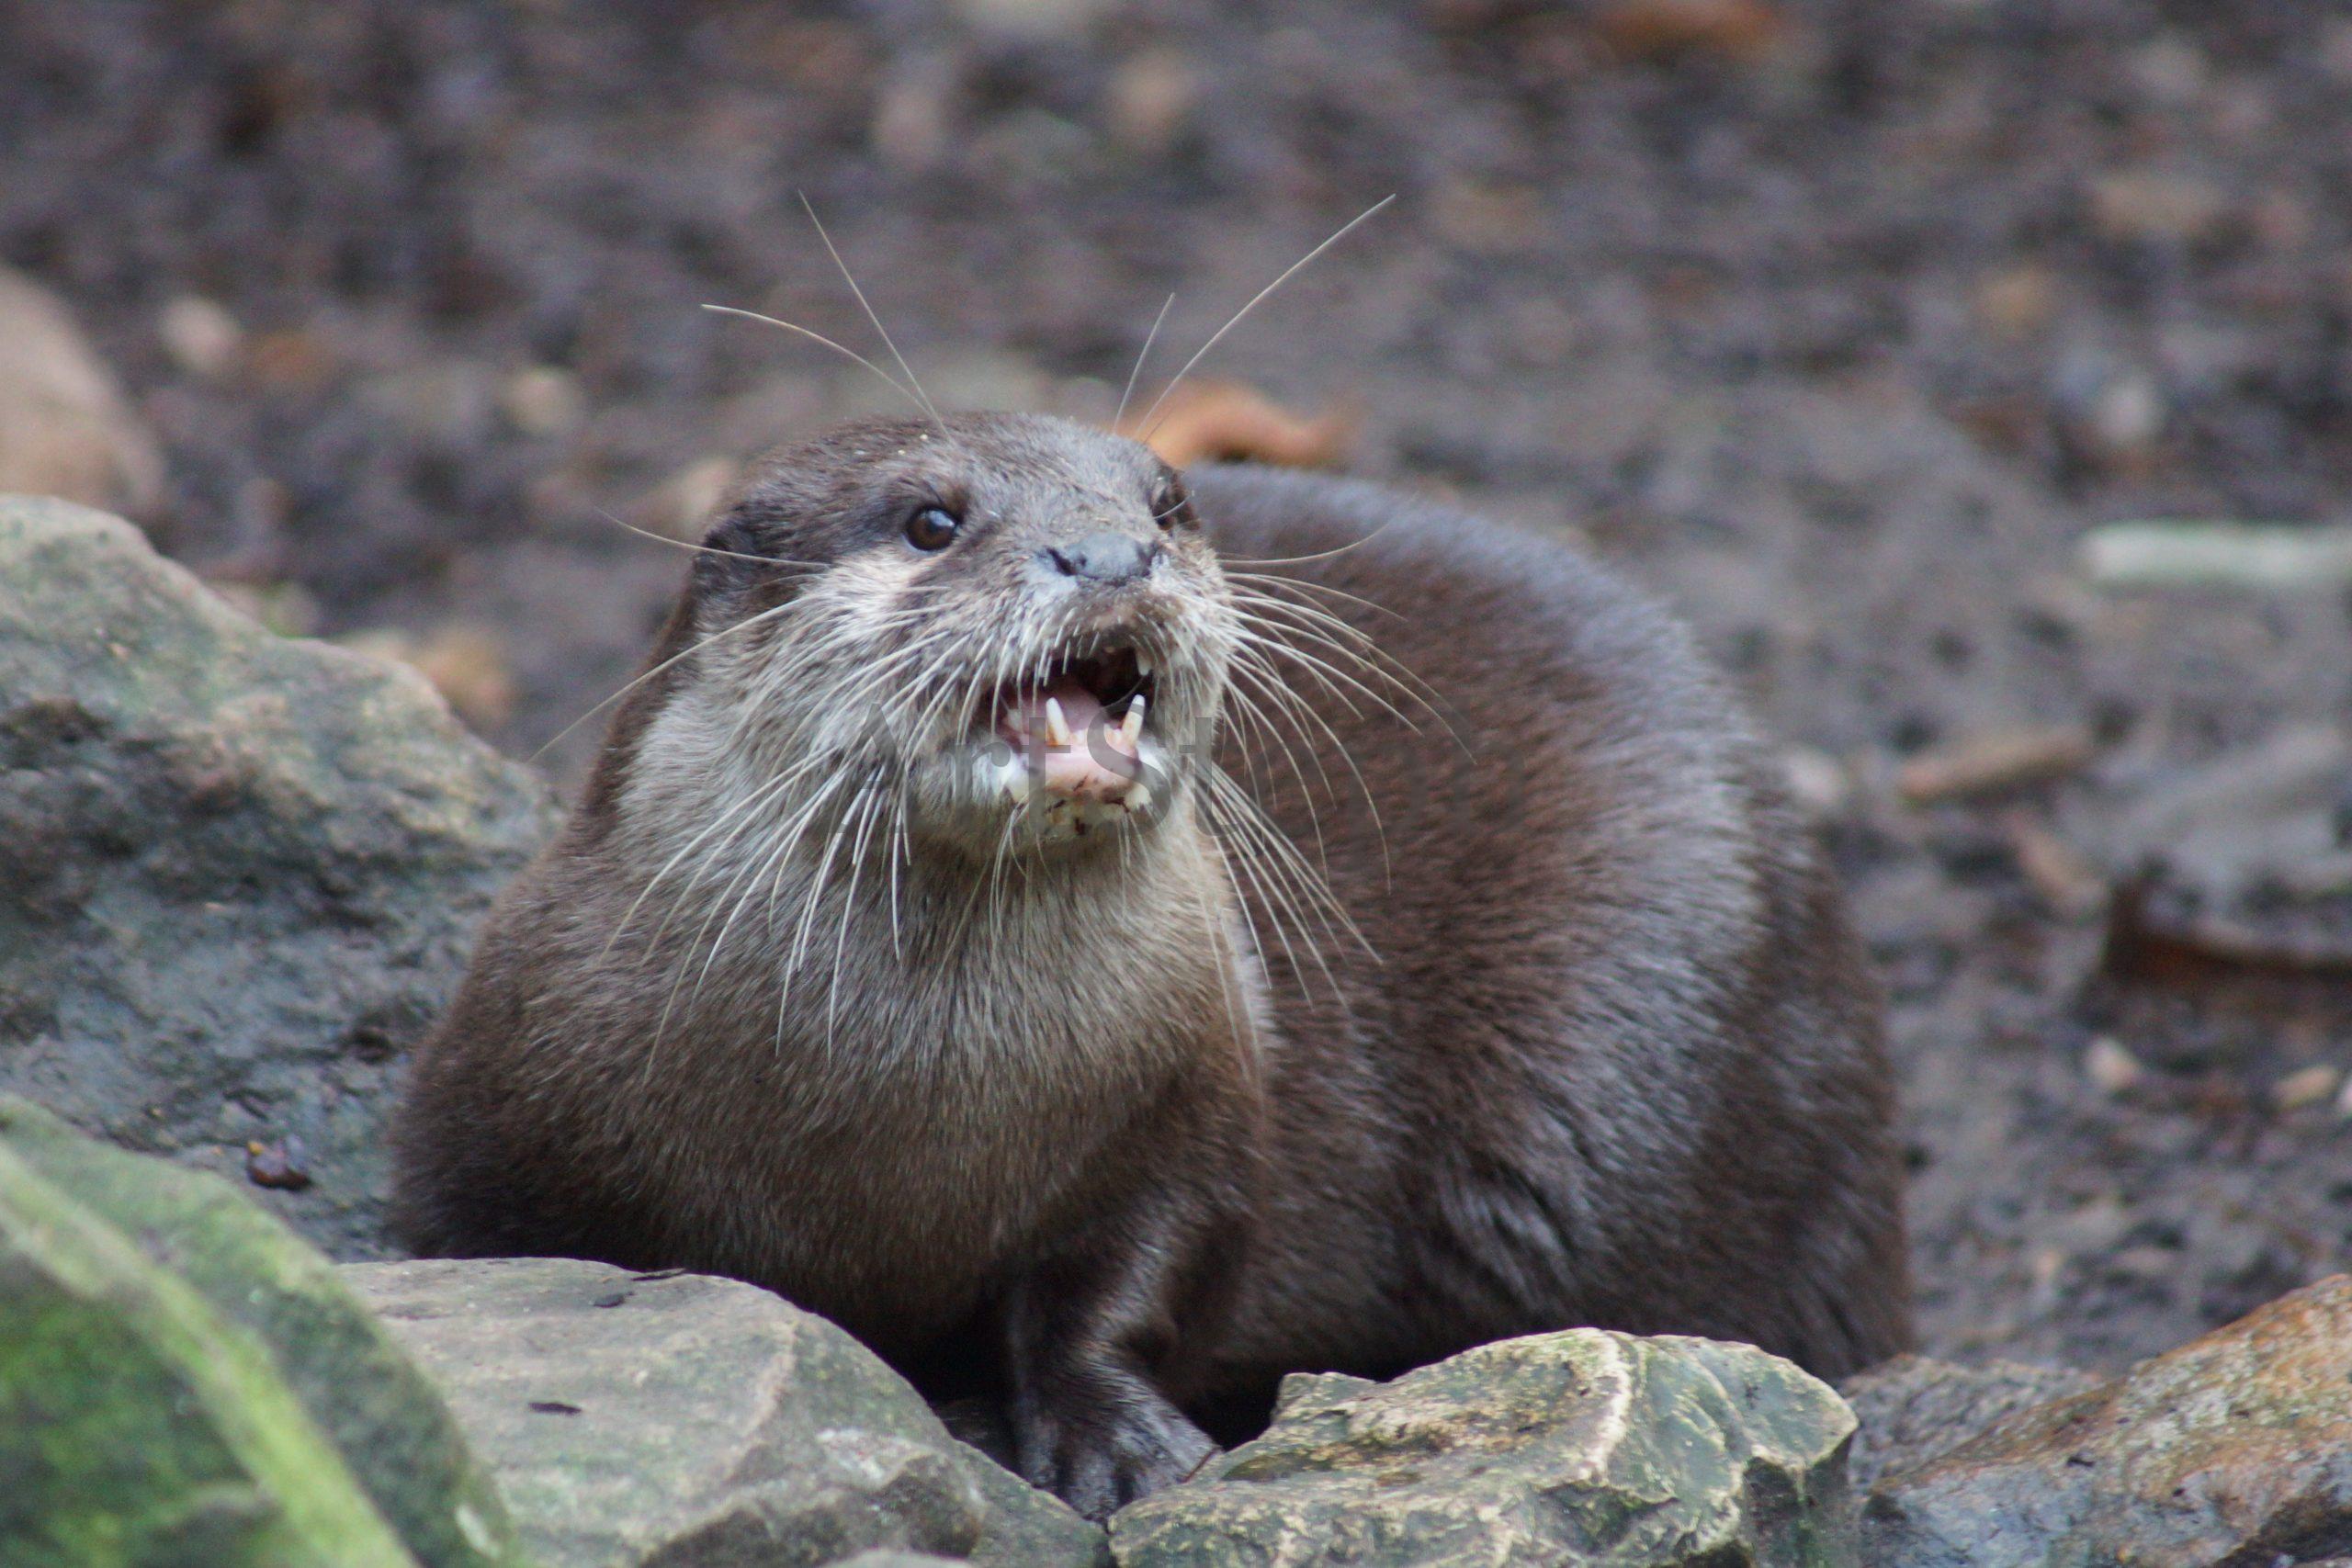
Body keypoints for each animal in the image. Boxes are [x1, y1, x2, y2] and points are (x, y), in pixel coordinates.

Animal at [393, 412, 1911, 1520]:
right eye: (932, 518)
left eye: (1168, 501)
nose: (1110, 551)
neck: (905, 1126)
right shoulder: (489, 1128)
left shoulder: (1197, 1086)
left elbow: (1130, 1280)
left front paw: (1119, 1440)